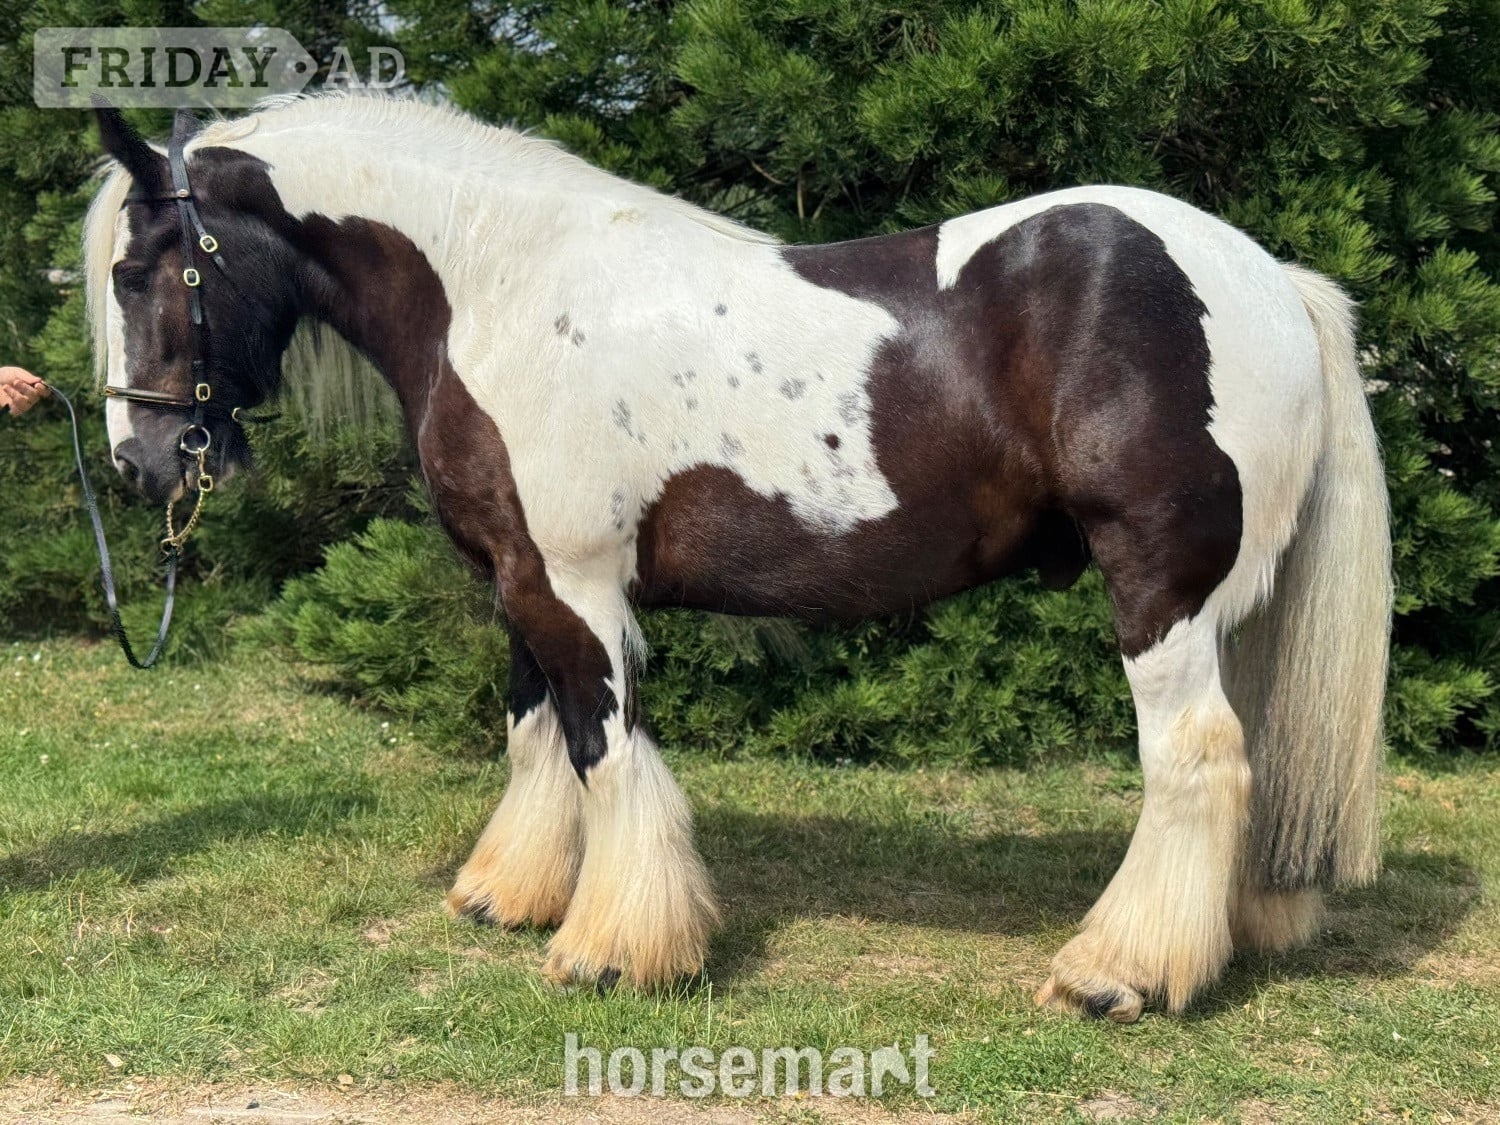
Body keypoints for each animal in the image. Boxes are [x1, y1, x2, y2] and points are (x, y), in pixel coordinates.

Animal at [85, 94, 1391, 1022]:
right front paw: (511, 895)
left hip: (1158, 590)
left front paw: (615, 951)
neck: (497, 285)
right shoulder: (519, 577)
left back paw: (1120, 972)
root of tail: (1272, 280)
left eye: (139, 271)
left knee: (1198, 760)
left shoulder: (573, 583)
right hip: (1234, 606)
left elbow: (605, 748)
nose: (141, 466)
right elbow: (535, 734)